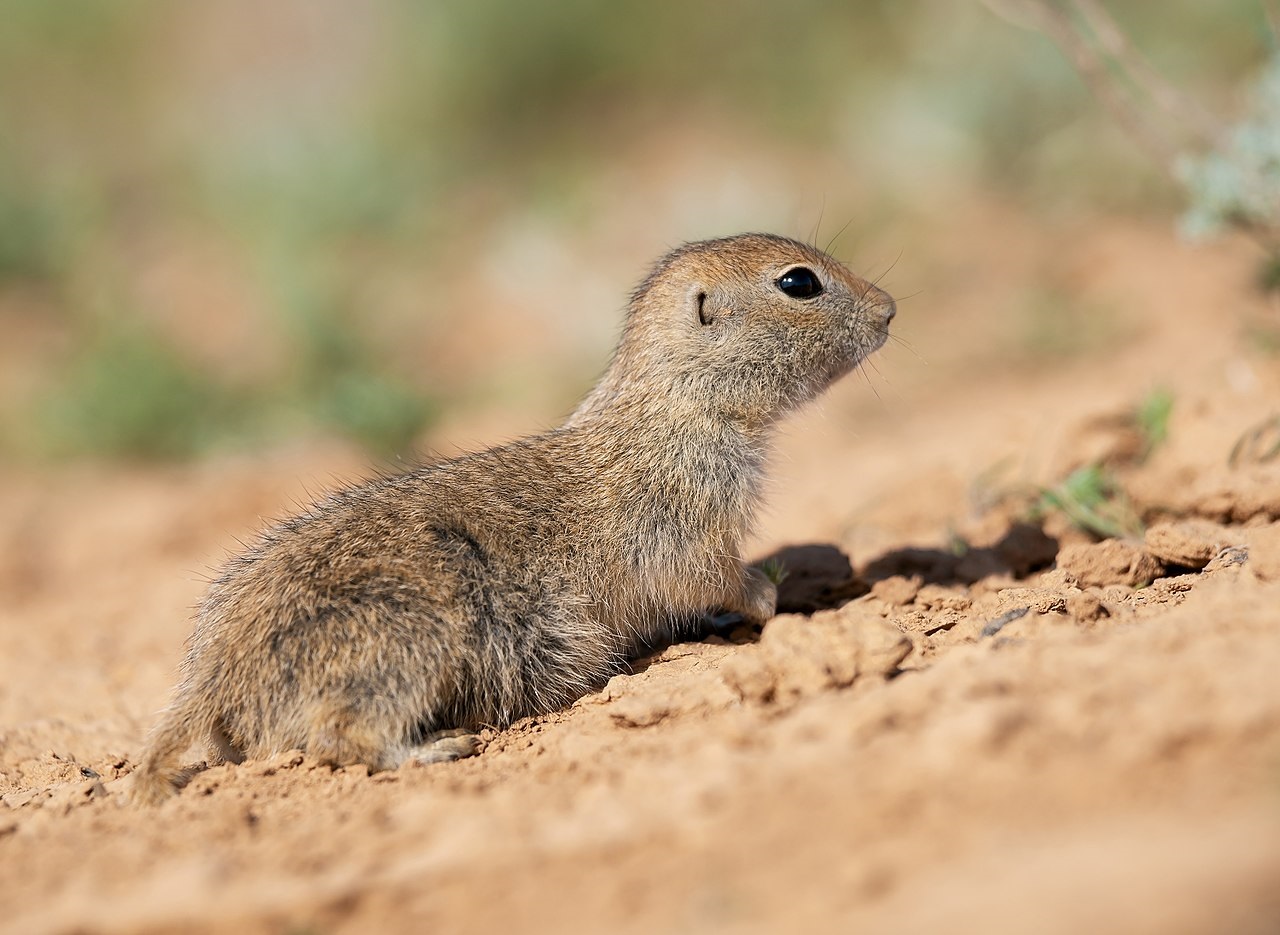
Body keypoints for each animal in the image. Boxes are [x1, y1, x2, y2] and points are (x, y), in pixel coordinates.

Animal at [127, 233, 890, 799]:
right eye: (798, 283)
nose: (889, 309)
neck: (672, 403)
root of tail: (208, 676)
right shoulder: (686, 514)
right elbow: (708, 573)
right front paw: (769, 598)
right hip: (408, 641)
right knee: (340, 735)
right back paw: (434, 750)